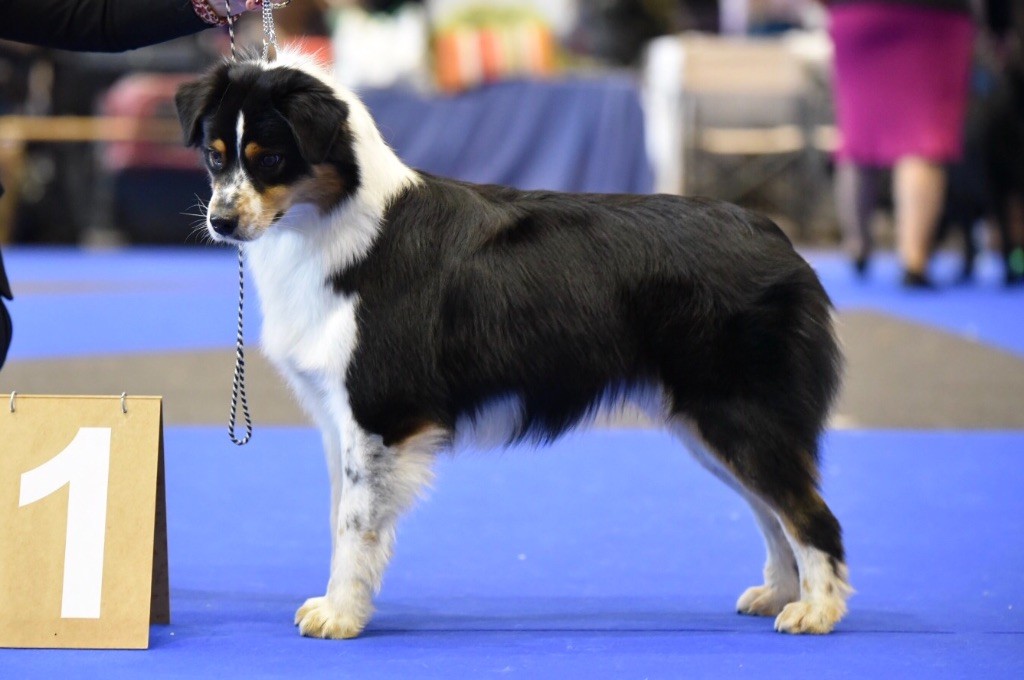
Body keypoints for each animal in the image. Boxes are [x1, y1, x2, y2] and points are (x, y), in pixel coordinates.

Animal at [178, 53, 856, 639]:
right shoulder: (337, 417)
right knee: (774, 513)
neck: (336, 227)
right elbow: (339, 514)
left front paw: (341, 615)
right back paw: (779, 593)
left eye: (270, 159)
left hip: (740, 414)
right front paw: (342, 605)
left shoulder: (379, 413)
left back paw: (816, 611)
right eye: (215, 156)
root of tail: (777, 237)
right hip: (710, 424)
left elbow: (355, 524)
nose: (220, 222)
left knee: (810, 514)